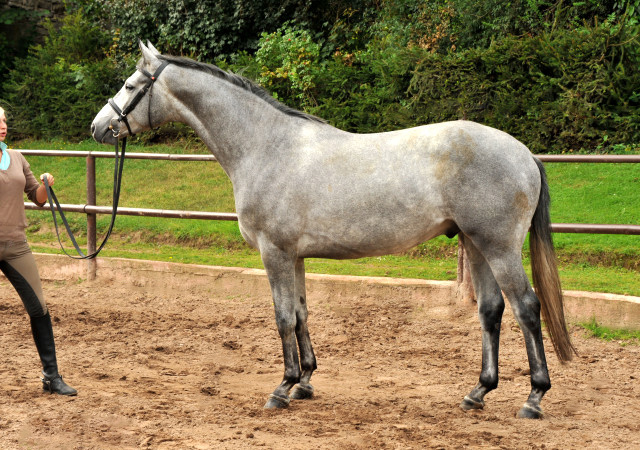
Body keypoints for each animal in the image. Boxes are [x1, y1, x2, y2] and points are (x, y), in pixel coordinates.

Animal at [90, 42, 576, 418]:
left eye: (130, 86)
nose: (98, 127)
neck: (266, 146)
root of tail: (524, 153)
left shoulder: (274, 253)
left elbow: (283, 317)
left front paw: (282, 387)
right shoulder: (295, 256)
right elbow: (302, 313)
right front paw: (305, 381)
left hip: (499, 247)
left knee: (526, 309)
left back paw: (534, 398)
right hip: (476, 245)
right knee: (491, 311)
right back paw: (477, 393)